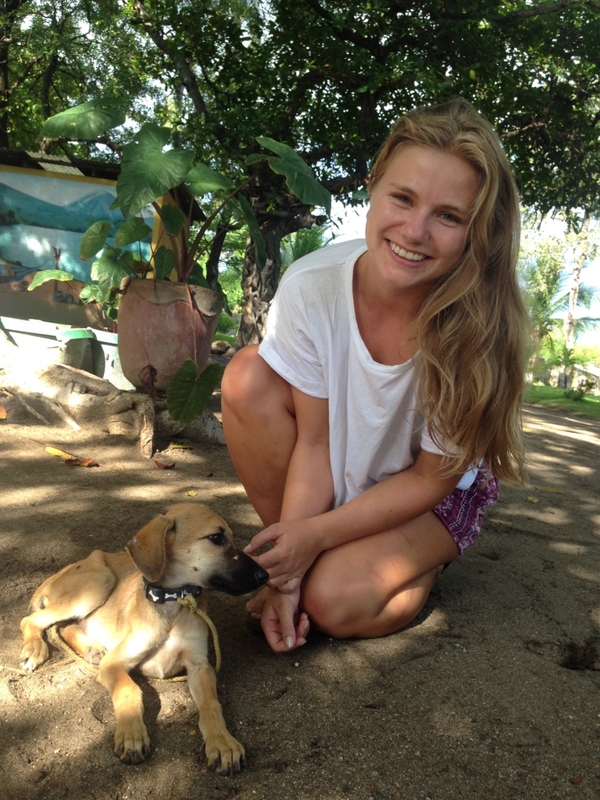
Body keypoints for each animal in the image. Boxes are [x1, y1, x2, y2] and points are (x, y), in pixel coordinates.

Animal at [19, 503, 268, 774]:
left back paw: (92, 649)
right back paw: (36, 649)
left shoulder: (200, 666)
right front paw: (132, 734)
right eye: (216, 538)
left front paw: (222, 742)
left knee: (65, 626)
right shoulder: (114, 664)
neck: (174, 603)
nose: (264, 576)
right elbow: (129, 689)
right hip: (99, 581)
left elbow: (211, 704)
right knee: (32, 621)